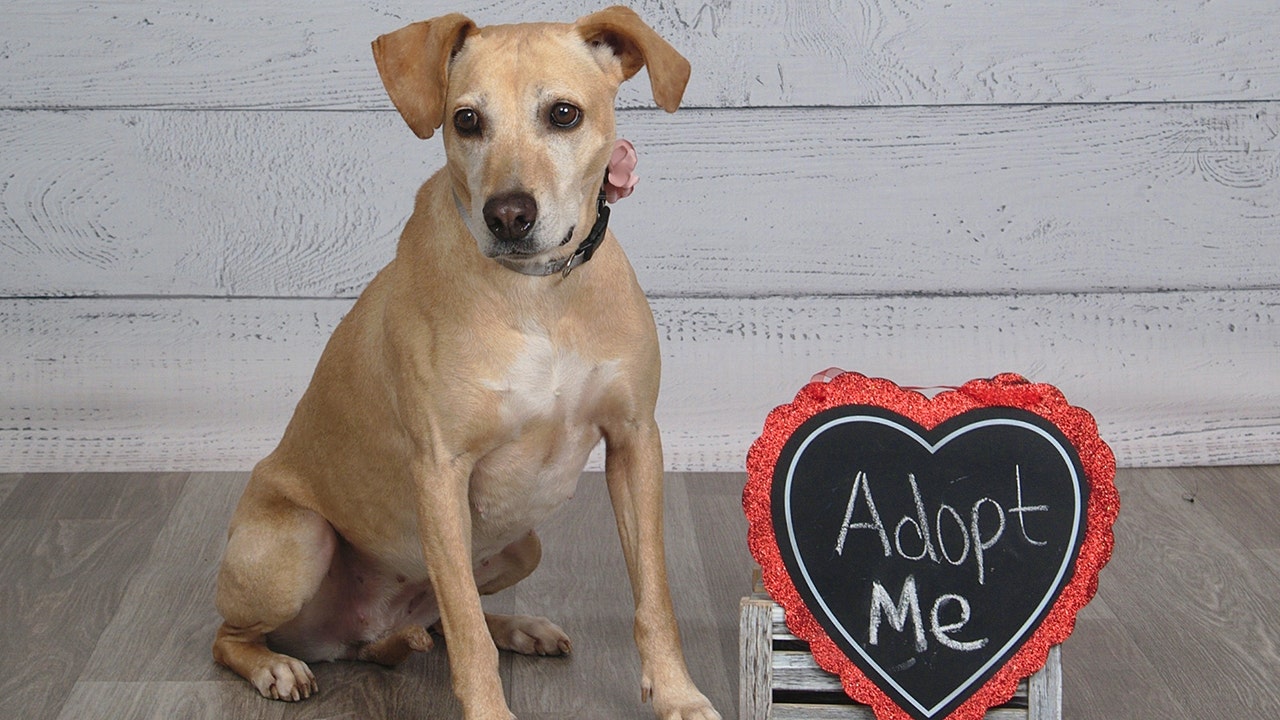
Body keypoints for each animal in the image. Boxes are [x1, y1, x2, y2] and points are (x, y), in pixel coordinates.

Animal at [209, 5, 721, 717]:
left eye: (564, 114)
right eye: (467, 120)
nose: (508, 215)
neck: (538, 294)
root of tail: (355, 635)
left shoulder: (634, 441)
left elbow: (653, 595)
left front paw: (677, 694)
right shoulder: (441, 471)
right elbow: (466, 631)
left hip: (521, 546)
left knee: (440, 620)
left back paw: (516, 627)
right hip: (297, 544)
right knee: (230, 636)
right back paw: (274, 667)